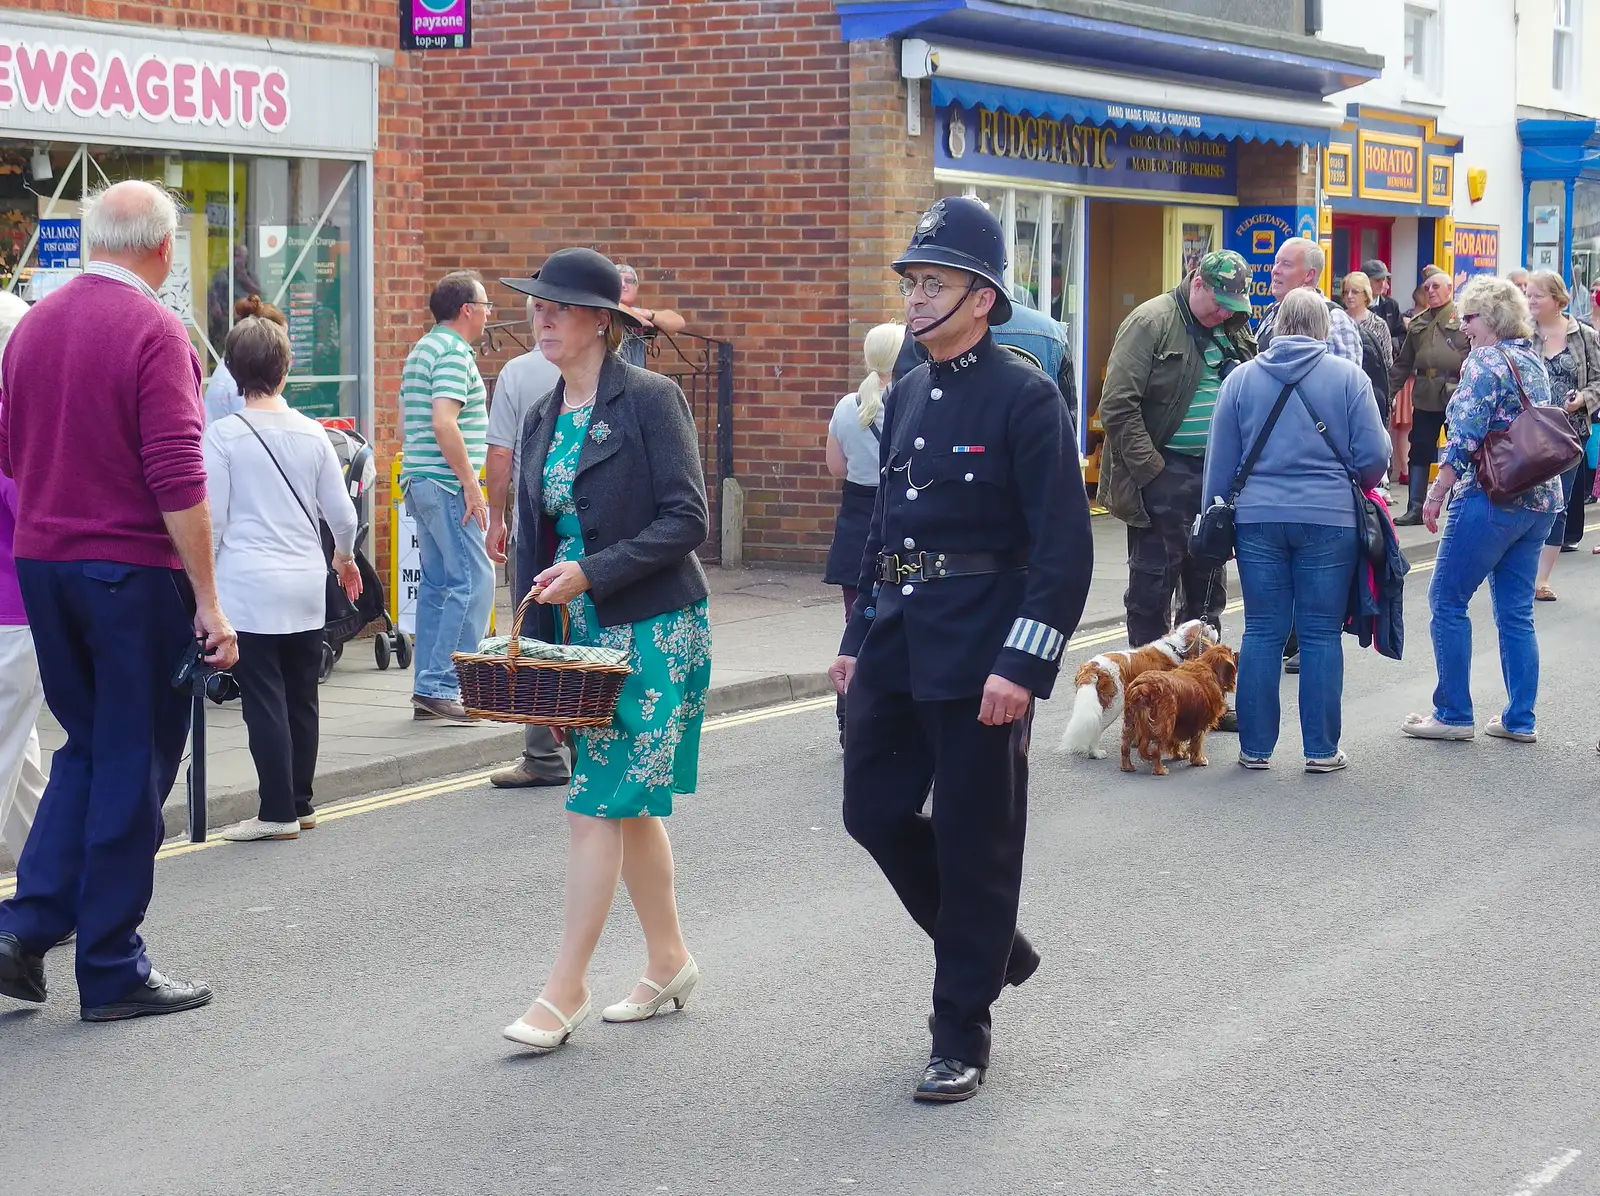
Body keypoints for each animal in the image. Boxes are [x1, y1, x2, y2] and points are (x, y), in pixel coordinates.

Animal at [1056, 617, 1216, 757]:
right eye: (1205, 628)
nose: (1214, 625)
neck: (1178, 648)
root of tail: (1093, 666)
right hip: (1113, 705)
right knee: (1098, 727)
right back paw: (1095, 752)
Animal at [1120, 645, 1241, 777]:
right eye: (1232, 653)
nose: (1239, 653)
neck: (1210, 667)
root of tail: (1143, 687)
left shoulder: (1178, 723)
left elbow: (1176, 742)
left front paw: (1180, 755)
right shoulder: (1199, 723)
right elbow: (1197, 743)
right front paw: (1199, 760)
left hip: (1130, 722)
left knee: (1125, 746)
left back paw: (1127, 766)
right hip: (1164, 724)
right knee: (1155, 749)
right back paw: (1160, 770)